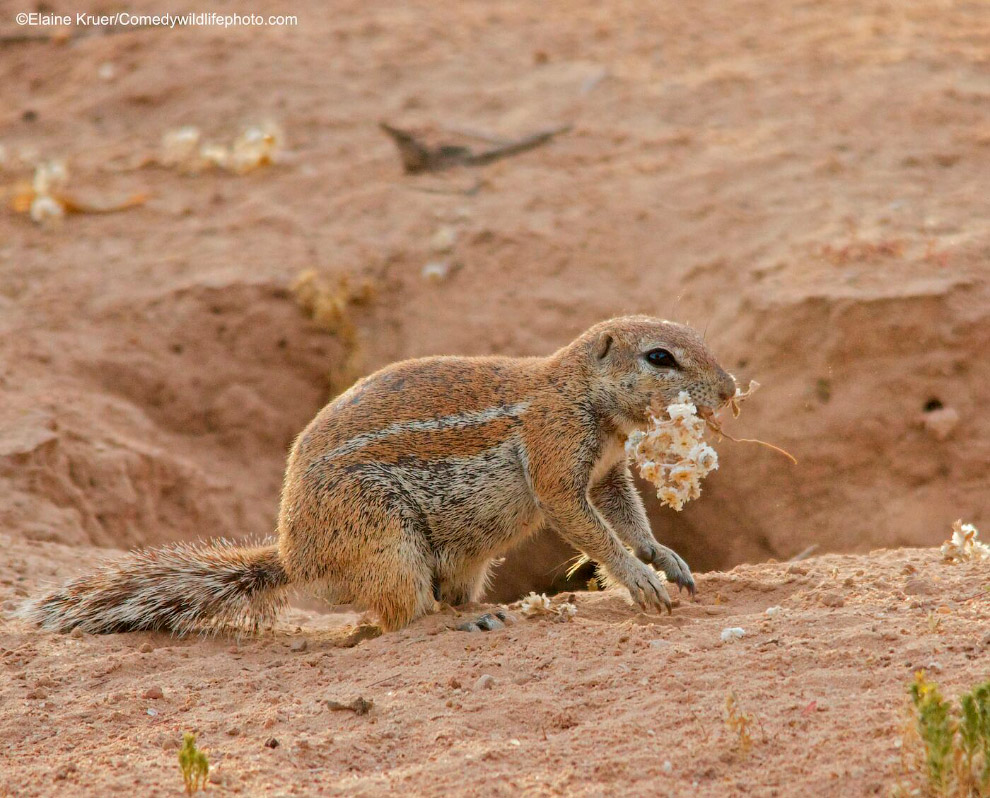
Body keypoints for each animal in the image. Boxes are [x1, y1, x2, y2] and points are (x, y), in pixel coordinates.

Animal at [23, 318, 736, 636]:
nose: (730, 389)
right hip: (385, 538)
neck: (579, 391)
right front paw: (640, 580)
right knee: (398, 618)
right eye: (660, 357)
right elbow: (585, 524)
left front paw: (665, 558)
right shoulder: (557, 455)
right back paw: (459, 623)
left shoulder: (608, 472)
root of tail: (294, 557)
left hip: (458, 558)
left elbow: (626, 515)